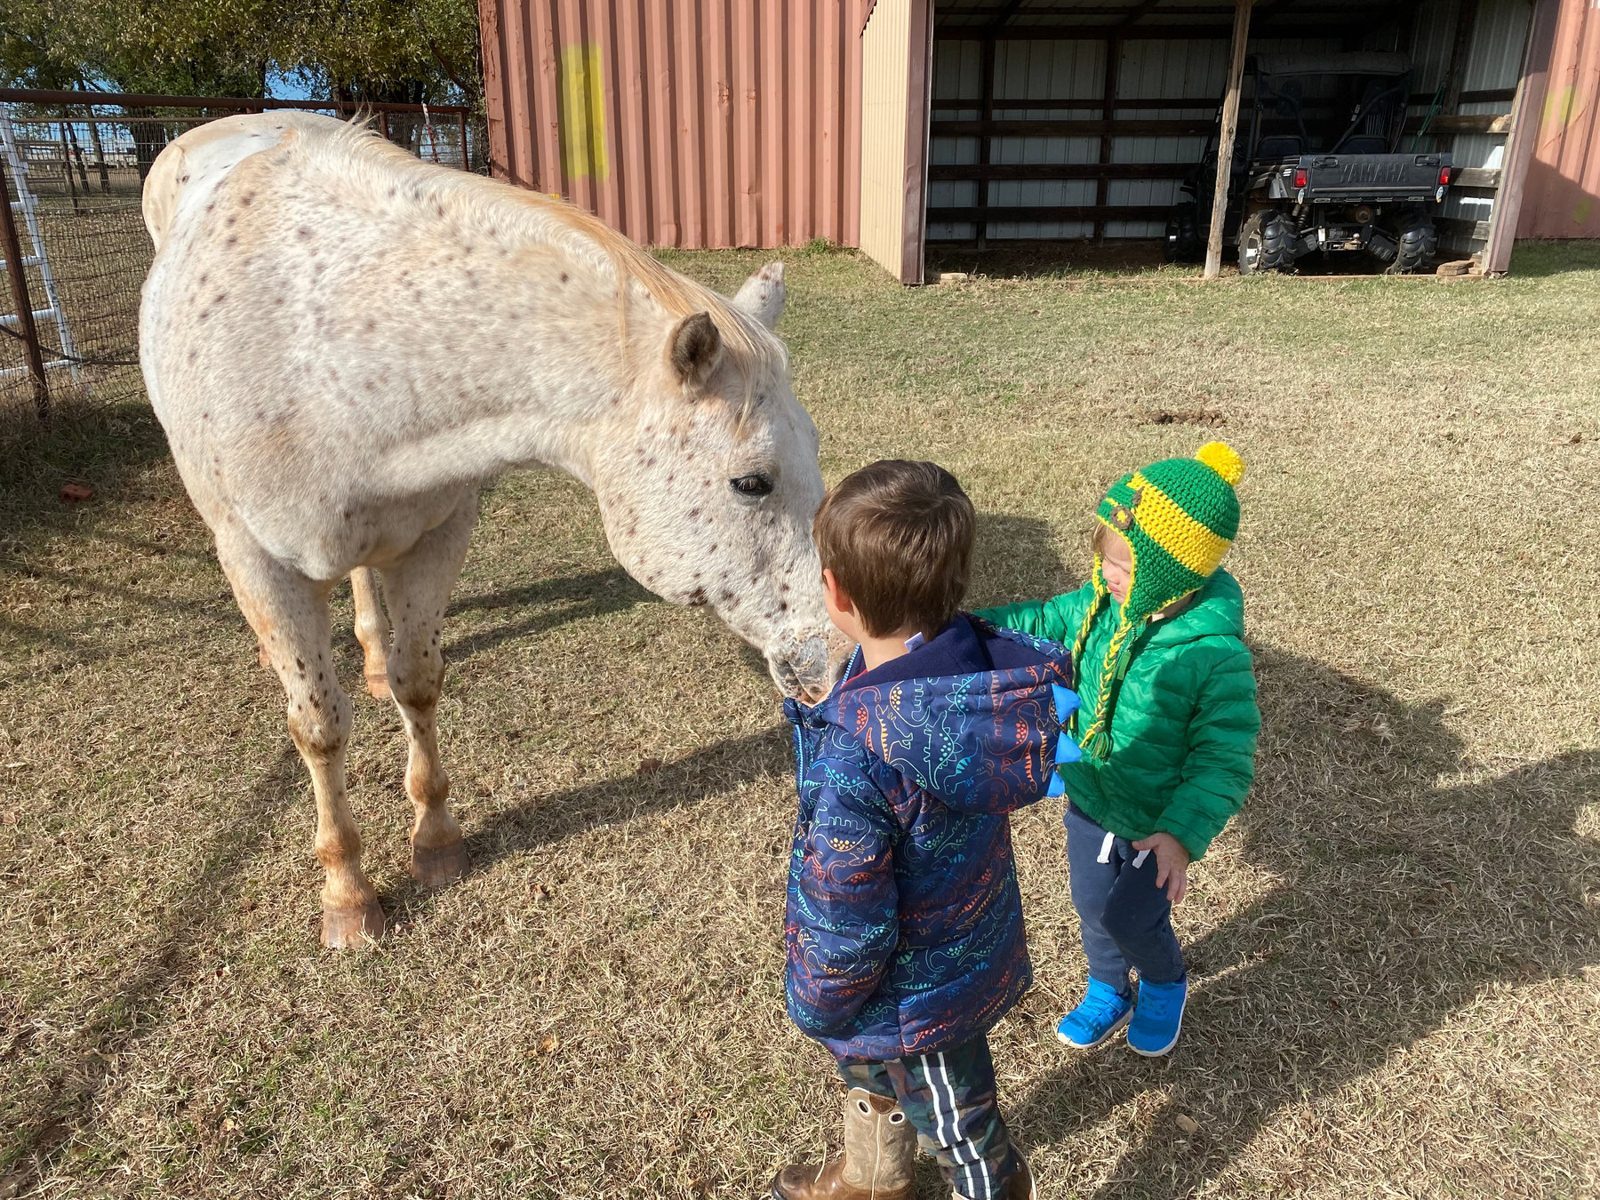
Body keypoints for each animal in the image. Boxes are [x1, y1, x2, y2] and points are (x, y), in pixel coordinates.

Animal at [138, 113, 833, 947]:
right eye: (752, 482)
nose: (833, 658)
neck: (332, 360)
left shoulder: (437, 534)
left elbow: (419, 681)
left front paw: (435, 841)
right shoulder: (259, 564)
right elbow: (320, 728)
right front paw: (347, 894)